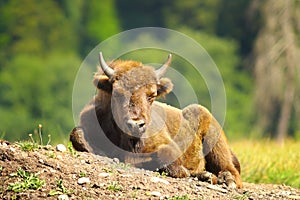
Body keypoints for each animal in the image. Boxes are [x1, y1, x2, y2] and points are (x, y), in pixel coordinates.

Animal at [71, 52, 244, 189]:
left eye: (152, 96)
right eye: (118, 94)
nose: (136, 124)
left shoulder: (168, 146)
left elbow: (166, 157)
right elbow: (77, 135)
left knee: (230, 169)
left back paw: (225, 180)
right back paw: (206, 176)